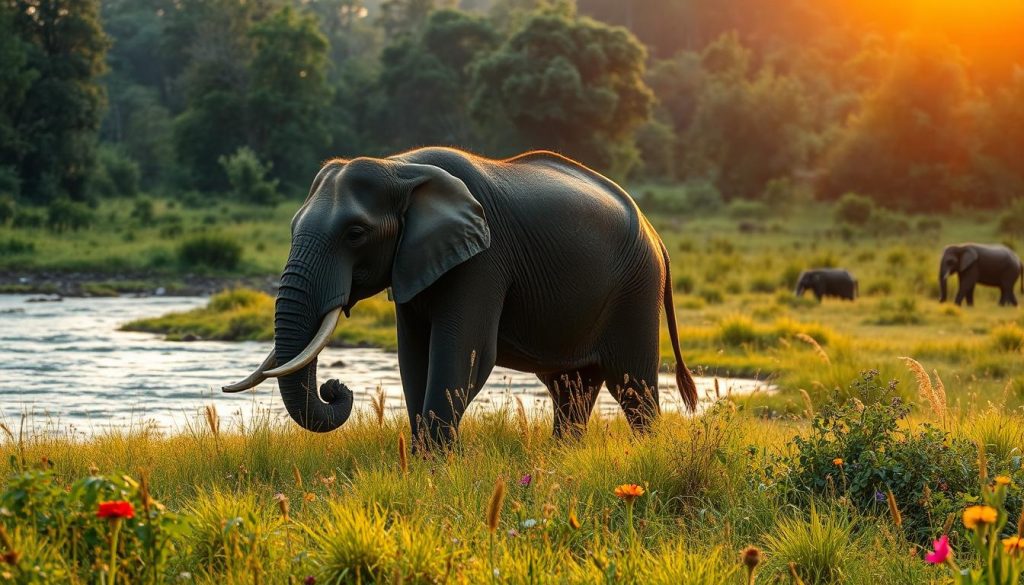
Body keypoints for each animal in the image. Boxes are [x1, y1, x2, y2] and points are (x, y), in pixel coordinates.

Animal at [224, 147, 698, 446]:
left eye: (355, 233)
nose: (335, 388)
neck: (399, 167)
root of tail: (657, 236)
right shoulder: (414, 262)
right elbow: (414, 356)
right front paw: (422, 464)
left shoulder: (483, 260)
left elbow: (464, 355)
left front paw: (433, 466)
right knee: (572, 389)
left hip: (636, 290)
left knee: (633, 386)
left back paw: (645, 453)